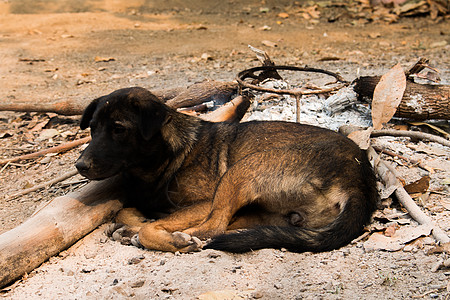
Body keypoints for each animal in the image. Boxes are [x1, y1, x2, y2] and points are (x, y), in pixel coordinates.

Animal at [75, 86, 378, 253]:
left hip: (241, 170)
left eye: (119, 129)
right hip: (262, 211)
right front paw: (132, 225)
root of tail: (360, 181)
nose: (80, 166)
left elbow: (152, 225)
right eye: (92, 129)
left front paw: (162, 235)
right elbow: (126, 211)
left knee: (214, 227)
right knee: (228, 228)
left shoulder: (202, 202)